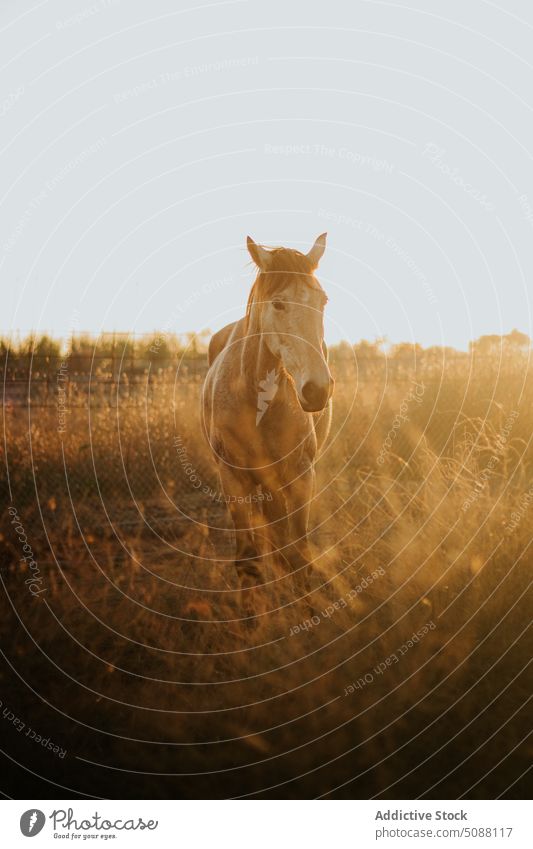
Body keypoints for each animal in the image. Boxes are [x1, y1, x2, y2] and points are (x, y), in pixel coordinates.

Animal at [201, 232, 332, 624]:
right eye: (278, 303)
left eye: (322, 300)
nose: (317, 390)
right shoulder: (234, 478)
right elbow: (248, 561)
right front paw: (251, 625)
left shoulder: (301, 475)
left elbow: (300, 554)